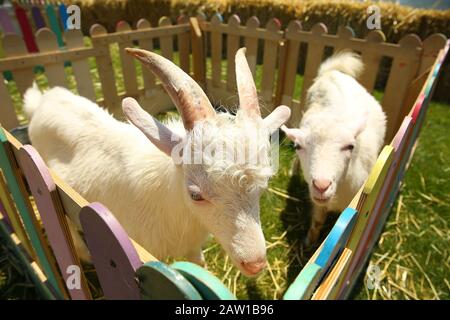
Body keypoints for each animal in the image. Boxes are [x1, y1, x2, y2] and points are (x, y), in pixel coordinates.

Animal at [284, 51, 384, 245]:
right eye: (297, 146)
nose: (321, 185)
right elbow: (317, 221)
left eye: (350, 146)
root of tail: (332, 72)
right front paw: (310, 241)